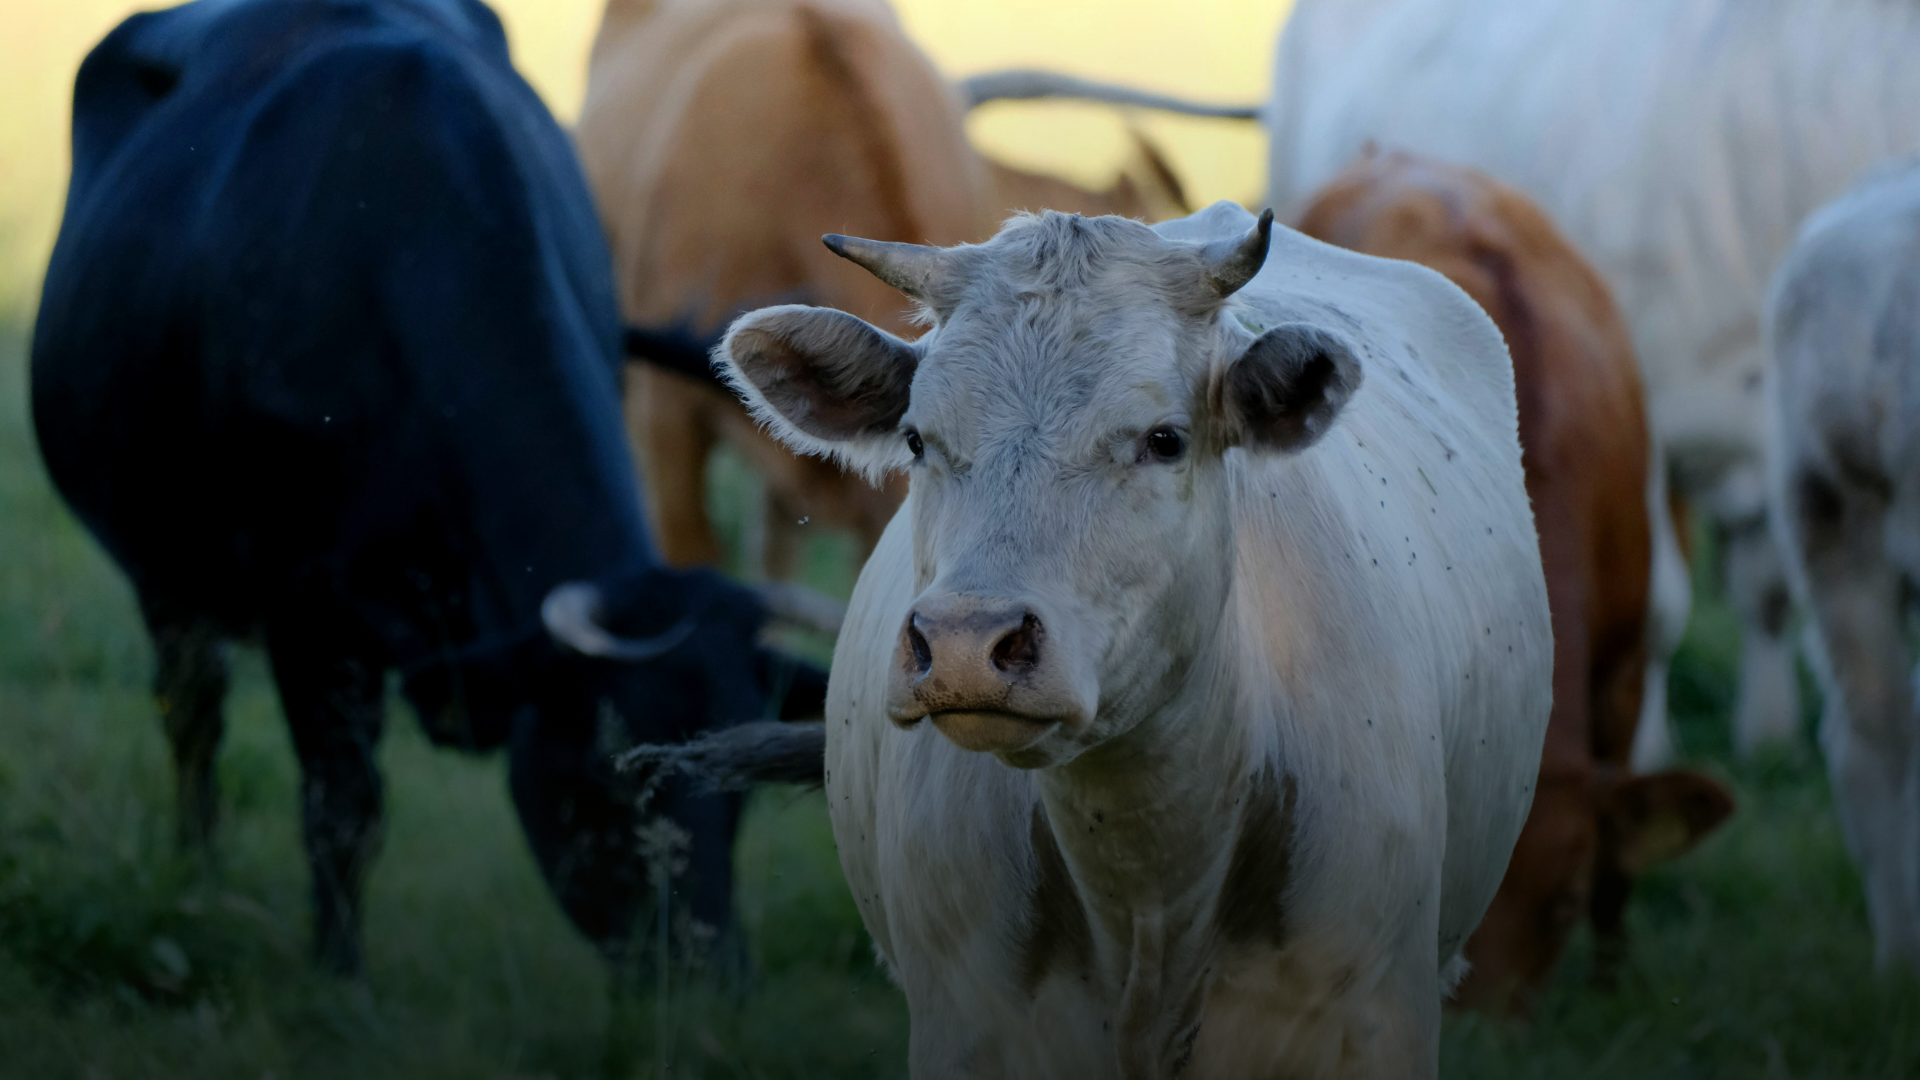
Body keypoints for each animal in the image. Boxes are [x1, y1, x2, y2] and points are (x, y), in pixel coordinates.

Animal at [30, 0, 821, 977]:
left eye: (739, 786)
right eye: (603, 776)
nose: (712, 979)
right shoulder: (309, 614)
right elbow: (343, 811)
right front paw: (339, 981)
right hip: (168, 574)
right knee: (193, 717)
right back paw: (198, 872)